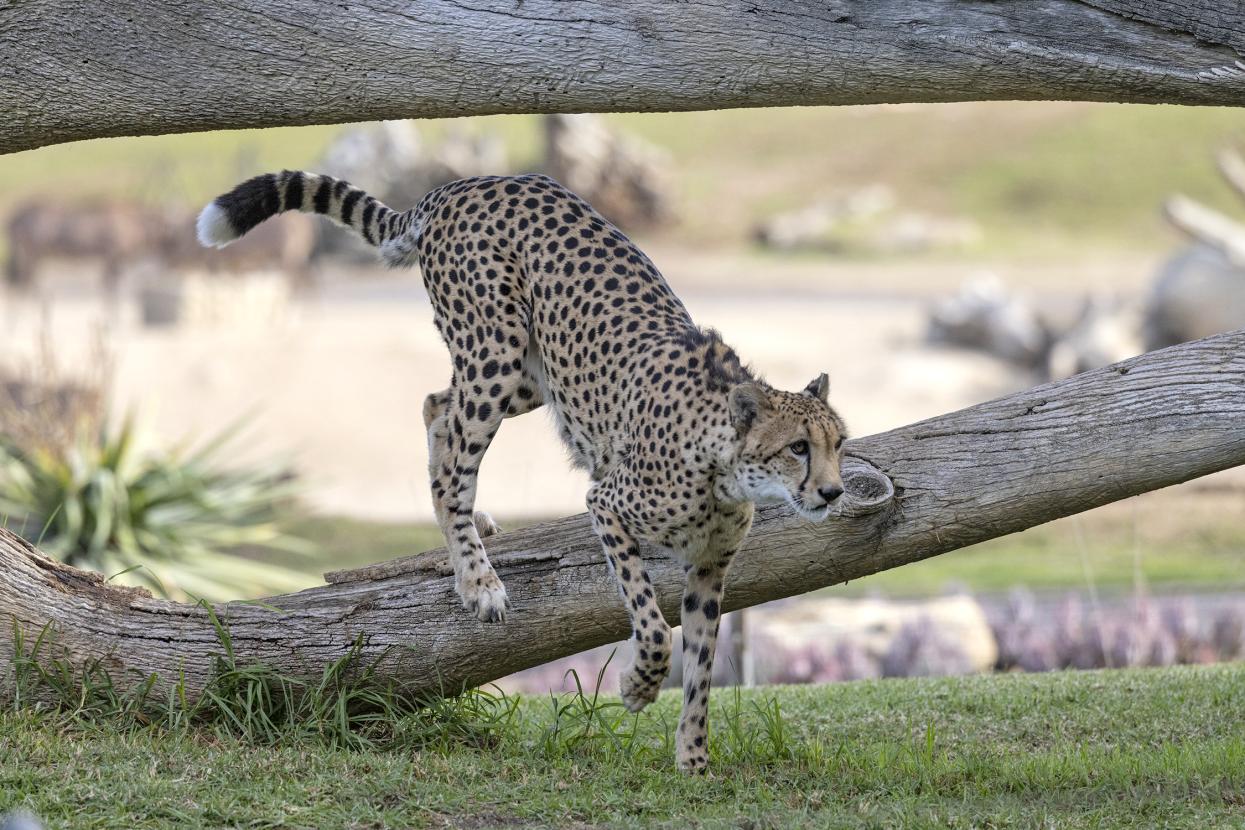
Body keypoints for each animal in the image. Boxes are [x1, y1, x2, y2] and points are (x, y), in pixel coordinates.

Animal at [197, 170, 848, 772]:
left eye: (839, 443)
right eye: (797, 447)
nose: (834, 491)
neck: (723, 465)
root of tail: (468, 183)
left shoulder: (711, 568)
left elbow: (702, 667)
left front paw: (692, 761)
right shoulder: (607, 506)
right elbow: (651, 621)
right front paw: (638, 687)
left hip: (536, 375)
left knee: (436, 407)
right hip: (497, 351)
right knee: (454, 454)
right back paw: (476, 576)